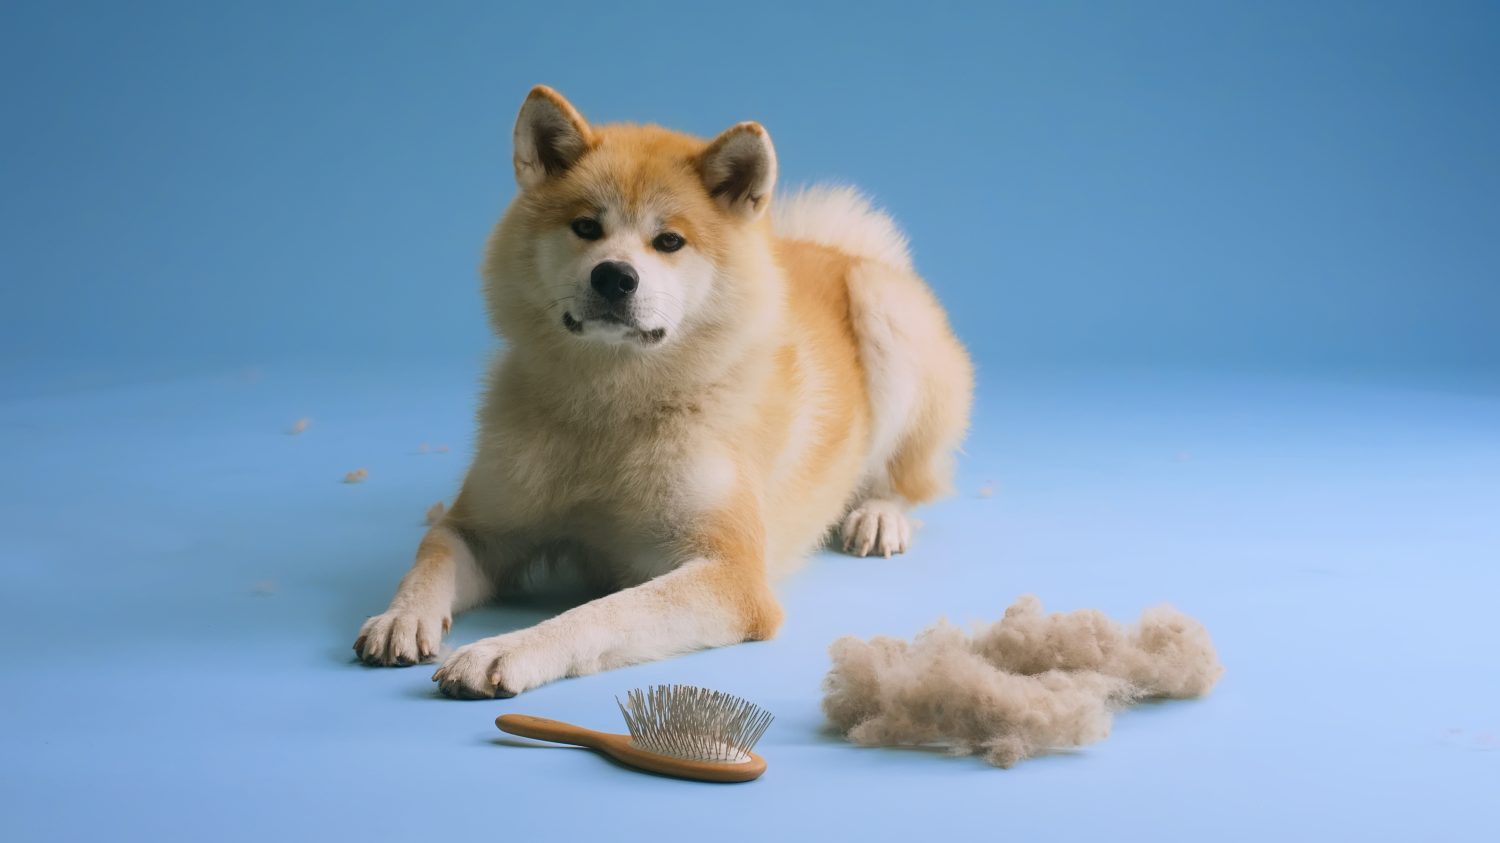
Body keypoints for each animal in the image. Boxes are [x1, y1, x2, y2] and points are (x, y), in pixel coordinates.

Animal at [351, 85, 972, 696]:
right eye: (586, 227)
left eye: (669, 241)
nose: (614, 276)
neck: (611, 408)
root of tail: (836, 250)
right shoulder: (480, 529)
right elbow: (429, 559)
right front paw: (400, 617)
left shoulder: (730, 576)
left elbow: (600, 614)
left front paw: (504, 649)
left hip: (884, 311)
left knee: (908, 478)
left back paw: (878, 514)